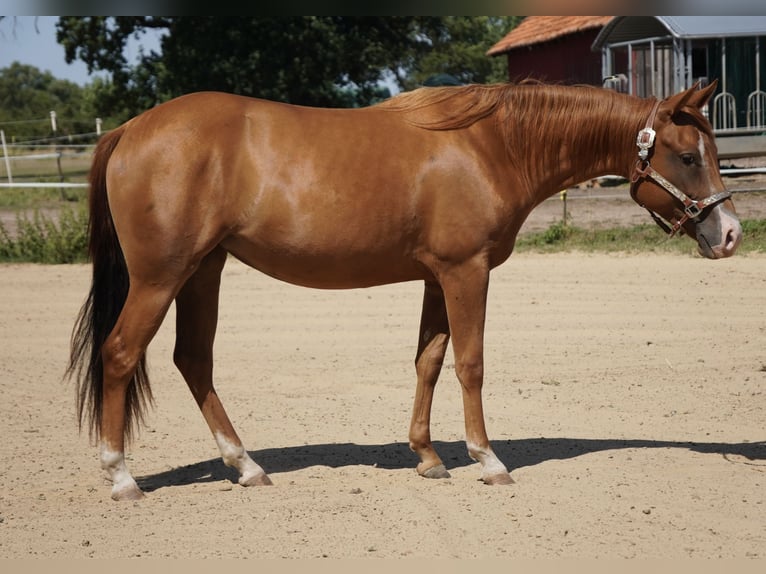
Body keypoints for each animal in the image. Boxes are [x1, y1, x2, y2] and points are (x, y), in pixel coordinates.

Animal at [66, 80, 742, 501]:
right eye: (687, 156)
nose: (731, 233)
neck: (489, 145)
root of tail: (130, 129)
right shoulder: (467, 271)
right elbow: (470, 363)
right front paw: (488, 461)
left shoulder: (436, 277)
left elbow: (429, 361)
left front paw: (428, 457)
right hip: (162, 276)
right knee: (121, 354)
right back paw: (122, 477)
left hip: (203, 270)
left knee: (193, 359)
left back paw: (247, 466)